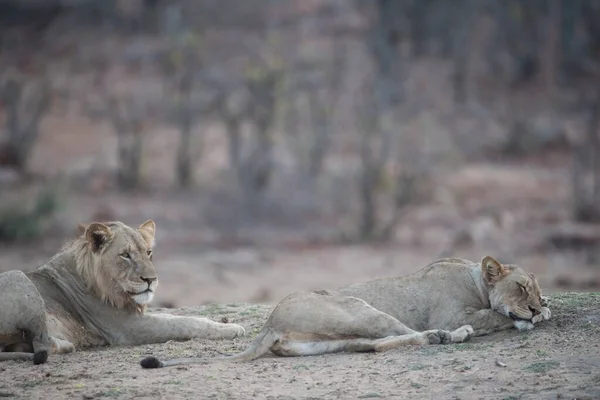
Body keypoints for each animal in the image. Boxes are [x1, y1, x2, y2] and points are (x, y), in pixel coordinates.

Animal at [0, 220, 244, 364]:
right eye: (125, 255)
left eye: (148, 252)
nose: (151, 280)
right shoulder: (128, 328)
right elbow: (183, 323)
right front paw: (232, 329)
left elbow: (177, 316)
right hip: (18, 277)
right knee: (43, 345)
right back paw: (69, 344)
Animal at [139, 256, 548, 368]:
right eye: (521, 287)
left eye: (538, 288)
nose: (536, 304)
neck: (475, 278)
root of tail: (269, 323)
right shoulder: (450, 312)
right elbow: (496, 316)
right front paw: (529, 319)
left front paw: (542, 312)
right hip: (359, 309)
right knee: (406, 334)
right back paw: (452, 336)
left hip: (336, 338)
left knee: (379, 345)